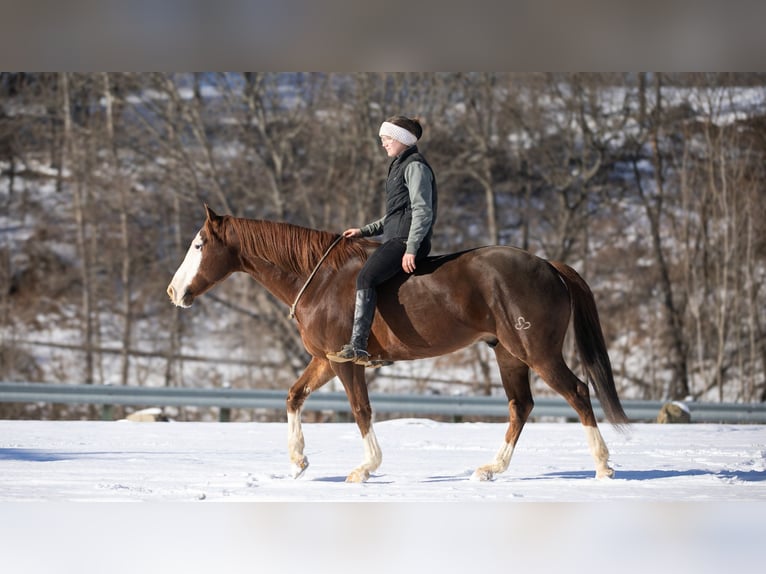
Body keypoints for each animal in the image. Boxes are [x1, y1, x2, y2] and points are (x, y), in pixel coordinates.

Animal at [168, 205, 632, 484]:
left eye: (198, 245)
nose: (174, 292)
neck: (320, 279)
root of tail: (548, 266)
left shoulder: (345, 363)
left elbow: (361, 410)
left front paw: (365, 468)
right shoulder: (325, 360)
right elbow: (294, 396)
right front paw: (298, 461)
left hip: (537, 352)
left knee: (578, 392)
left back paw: (603, 466)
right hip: (508, 355)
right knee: (522, 406)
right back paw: (491, 468)